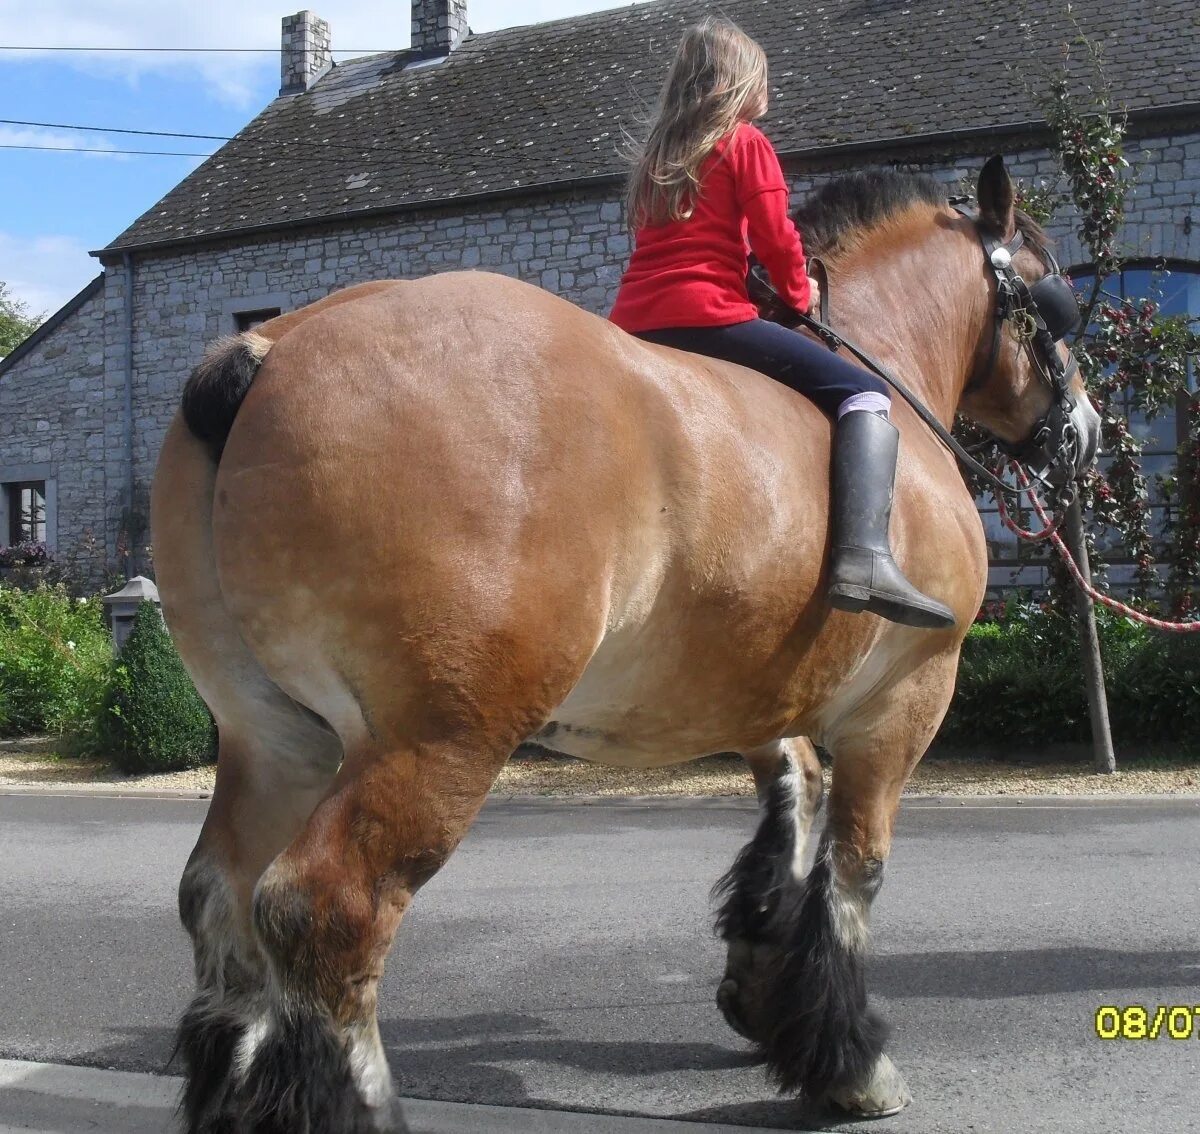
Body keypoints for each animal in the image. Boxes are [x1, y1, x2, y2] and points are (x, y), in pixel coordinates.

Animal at [147, 152, 1099, 1132]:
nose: (1083, 431)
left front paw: (764, 990)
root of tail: (271, 351)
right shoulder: (905, 699)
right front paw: (849, 1060)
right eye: (1056, 293)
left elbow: (790, 813)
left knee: (219, 898)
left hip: (274, 739)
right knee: (329, 909)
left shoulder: (756, 693)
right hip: (434, 742)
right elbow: (852, 870)